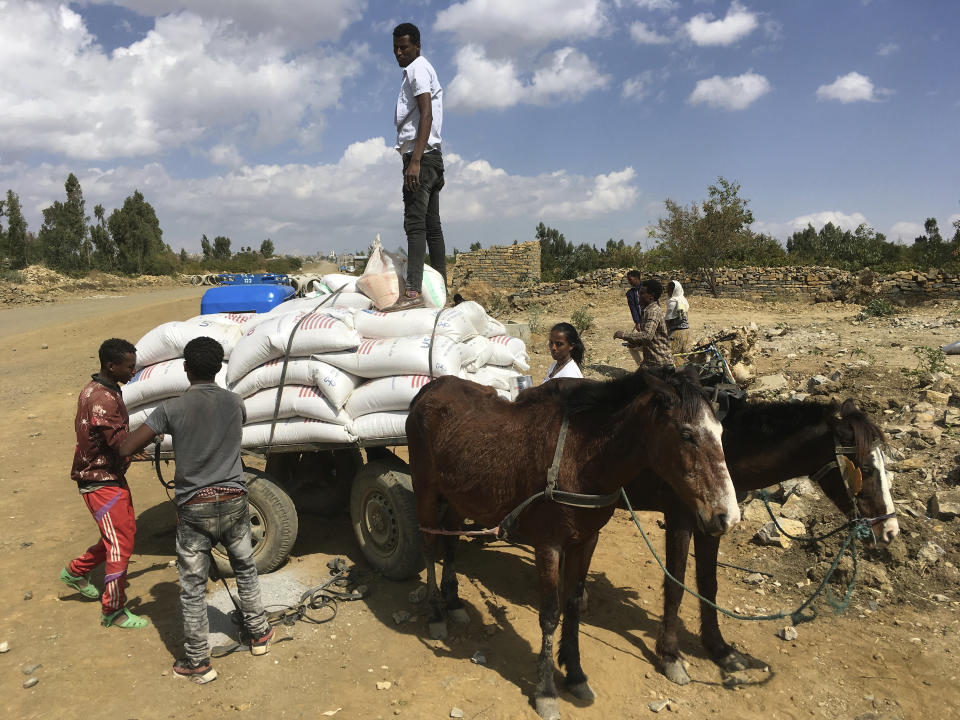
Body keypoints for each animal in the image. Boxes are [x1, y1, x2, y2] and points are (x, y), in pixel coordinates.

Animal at [406, 368, 744, 716]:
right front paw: (546, 691)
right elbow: (550, 614)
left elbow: (572, 606)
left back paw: (454, 602)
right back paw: (436, 613)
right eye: (687, 434)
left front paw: (575, 673)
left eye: (721, 432)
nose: (727, 516)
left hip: (458, 497)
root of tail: (429, 389)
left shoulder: (586, 541)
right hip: (426, 490)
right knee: (429, 544)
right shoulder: (548, 545)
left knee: (450, 541)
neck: (580, 458)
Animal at [624, 396, 900, 684]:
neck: (722, 453)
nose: (891, 531)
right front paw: (670, 655)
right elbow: (675, 584)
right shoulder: (679, 518)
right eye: (866, 469)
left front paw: (720, 649)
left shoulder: (712, 524)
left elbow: (708, 584)